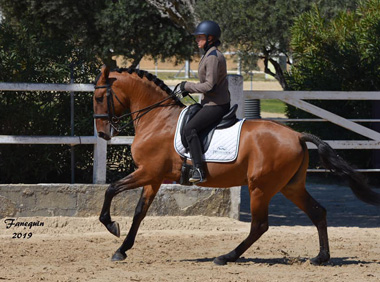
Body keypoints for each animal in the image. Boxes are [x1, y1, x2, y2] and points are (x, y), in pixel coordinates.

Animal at [93, 65, 380, 266]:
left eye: (97, 97)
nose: (104, 133)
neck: (157, 118)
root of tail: (297, 135)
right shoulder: (153, 178)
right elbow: (139, 212)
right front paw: (121, 249)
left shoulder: (148, 172)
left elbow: (111, 189)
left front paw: (111, 226)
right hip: (290, 186)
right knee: (317, 212)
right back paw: (321, 257)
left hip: (260, 188)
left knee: (259, 225)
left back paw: (226, 256)